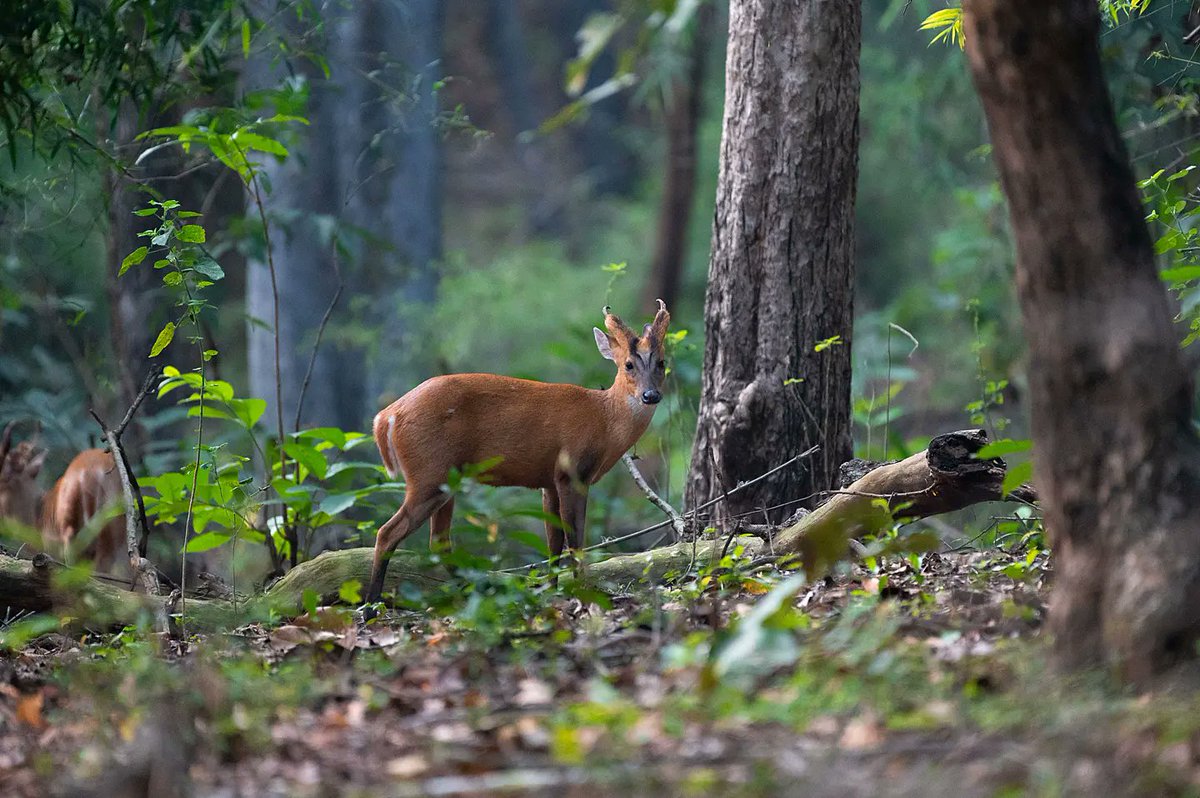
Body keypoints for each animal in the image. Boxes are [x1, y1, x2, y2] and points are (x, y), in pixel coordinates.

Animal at [366, 301, 671, 603]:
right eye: (628, 364)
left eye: (661, 362)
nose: (650, 395)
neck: (604, 419)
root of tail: (387, 416)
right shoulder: (572, 471)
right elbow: (575, 539)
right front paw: (581, 592)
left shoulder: (549, 481)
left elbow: (553, 541)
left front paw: (551, 590)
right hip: (429, 472)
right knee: (388, 533)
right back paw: (371, 605)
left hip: (446, 478)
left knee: (438, 542)